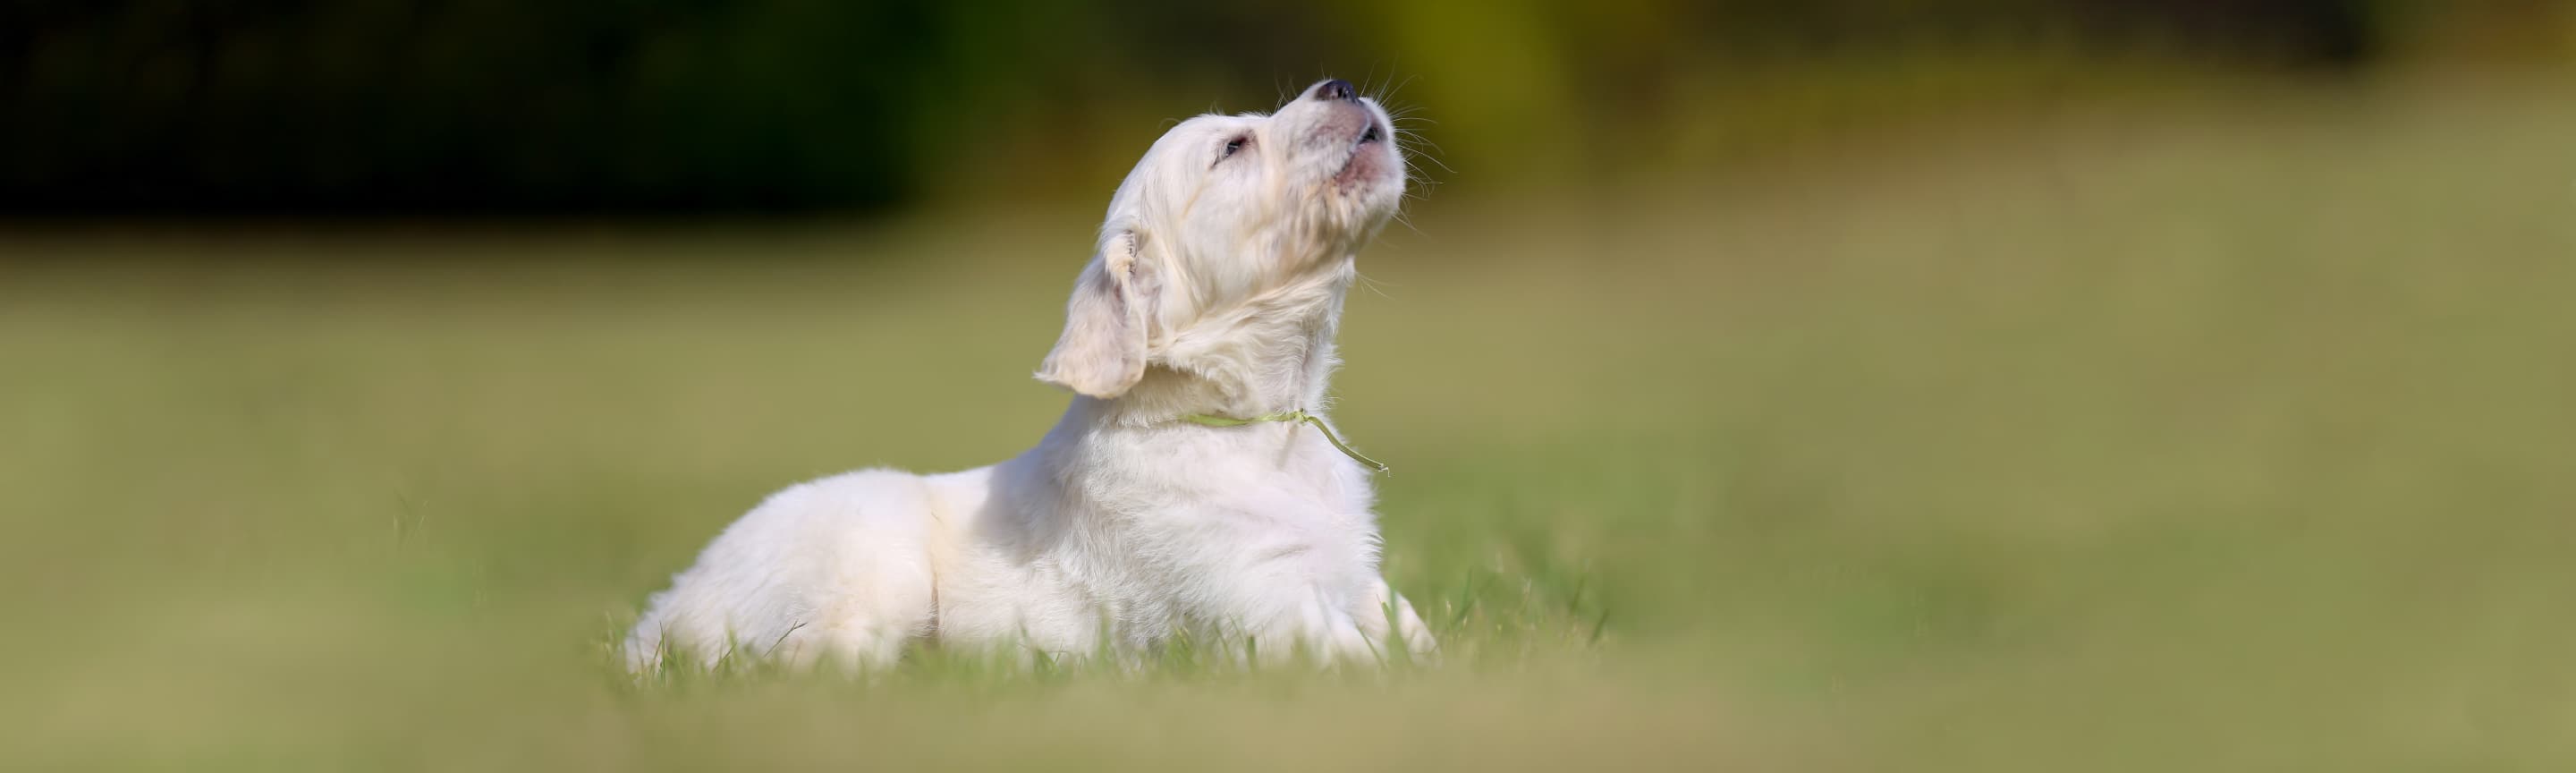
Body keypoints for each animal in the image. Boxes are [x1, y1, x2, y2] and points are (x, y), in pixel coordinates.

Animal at [623, 80, 1432, 669]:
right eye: (1233, 146)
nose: (1340, 84)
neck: (1261, 426)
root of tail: (662, 614)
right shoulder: (1256, 604)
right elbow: (1359, 658)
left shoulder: (1354, 577)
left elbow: (1410, 627)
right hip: (874, 563)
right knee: (808, 662)